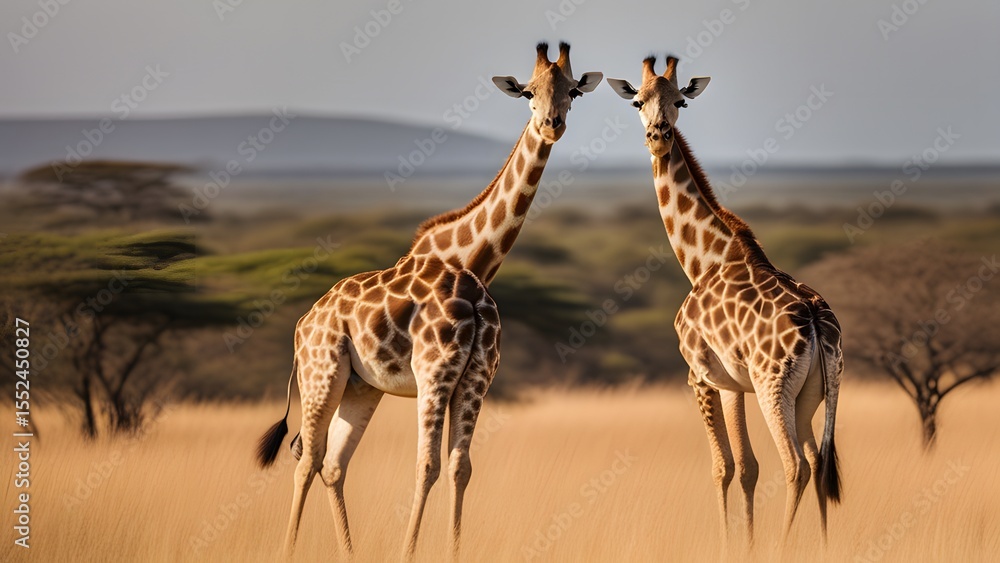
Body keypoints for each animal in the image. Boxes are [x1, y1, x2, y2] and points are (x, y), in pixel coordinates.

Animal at [254, 42, 602, 561]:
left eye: (573, 91)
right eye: (527, 92)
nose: (551, 124)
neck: (470, 265)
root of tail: (302, 322)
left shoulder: (475, 379)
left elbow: (460, 468)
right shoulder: (434, 372)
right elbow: (427, 466)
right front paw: (409, 552)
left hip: (362, 387)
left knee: (332, 463)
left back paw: (349, 553)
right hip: (322, 374)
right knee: (307, 459)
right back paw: (288, 551)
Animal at [607, 56, 844, 545]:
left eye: (679, 101)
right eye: (638, 101)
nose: (658, 136)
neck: (704, 258)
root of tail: (816, 322)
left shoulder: (700, 375)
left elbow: (723, 467)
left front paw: (730, 544)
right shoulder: (734, 383)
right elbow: (748, 467)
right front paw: (746, 543)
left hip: (774, 387)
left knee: (795, 465)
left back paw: (784, 547)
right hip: (817, 392)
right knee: (818, 461)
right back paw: (825, 546)